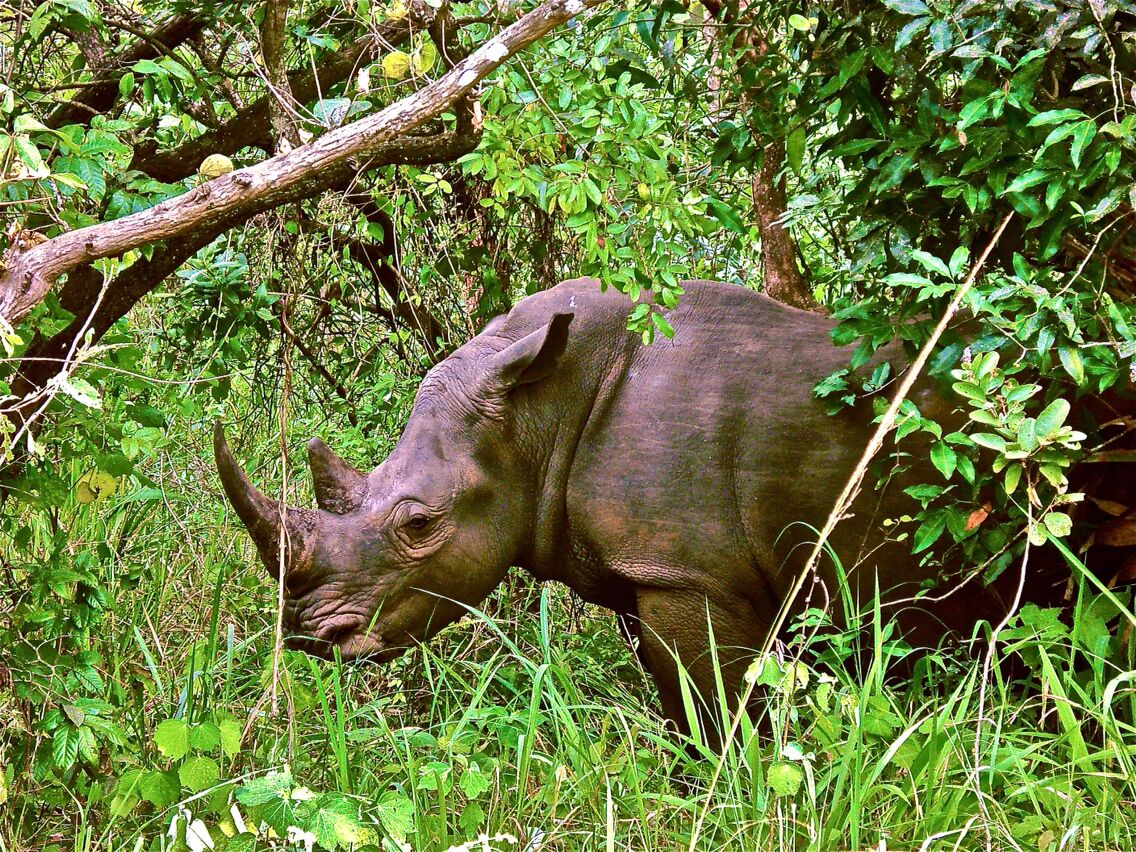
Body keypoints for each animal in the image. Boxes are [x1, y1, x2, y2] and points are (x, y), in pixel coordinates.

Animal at [214, 278, 1033, 733]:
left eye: (418, 525)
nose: (309, 636)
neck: (534, 409)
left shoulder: (687, 573)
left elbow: (713, 706)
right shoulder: (652, 570)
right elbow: (681, 700)